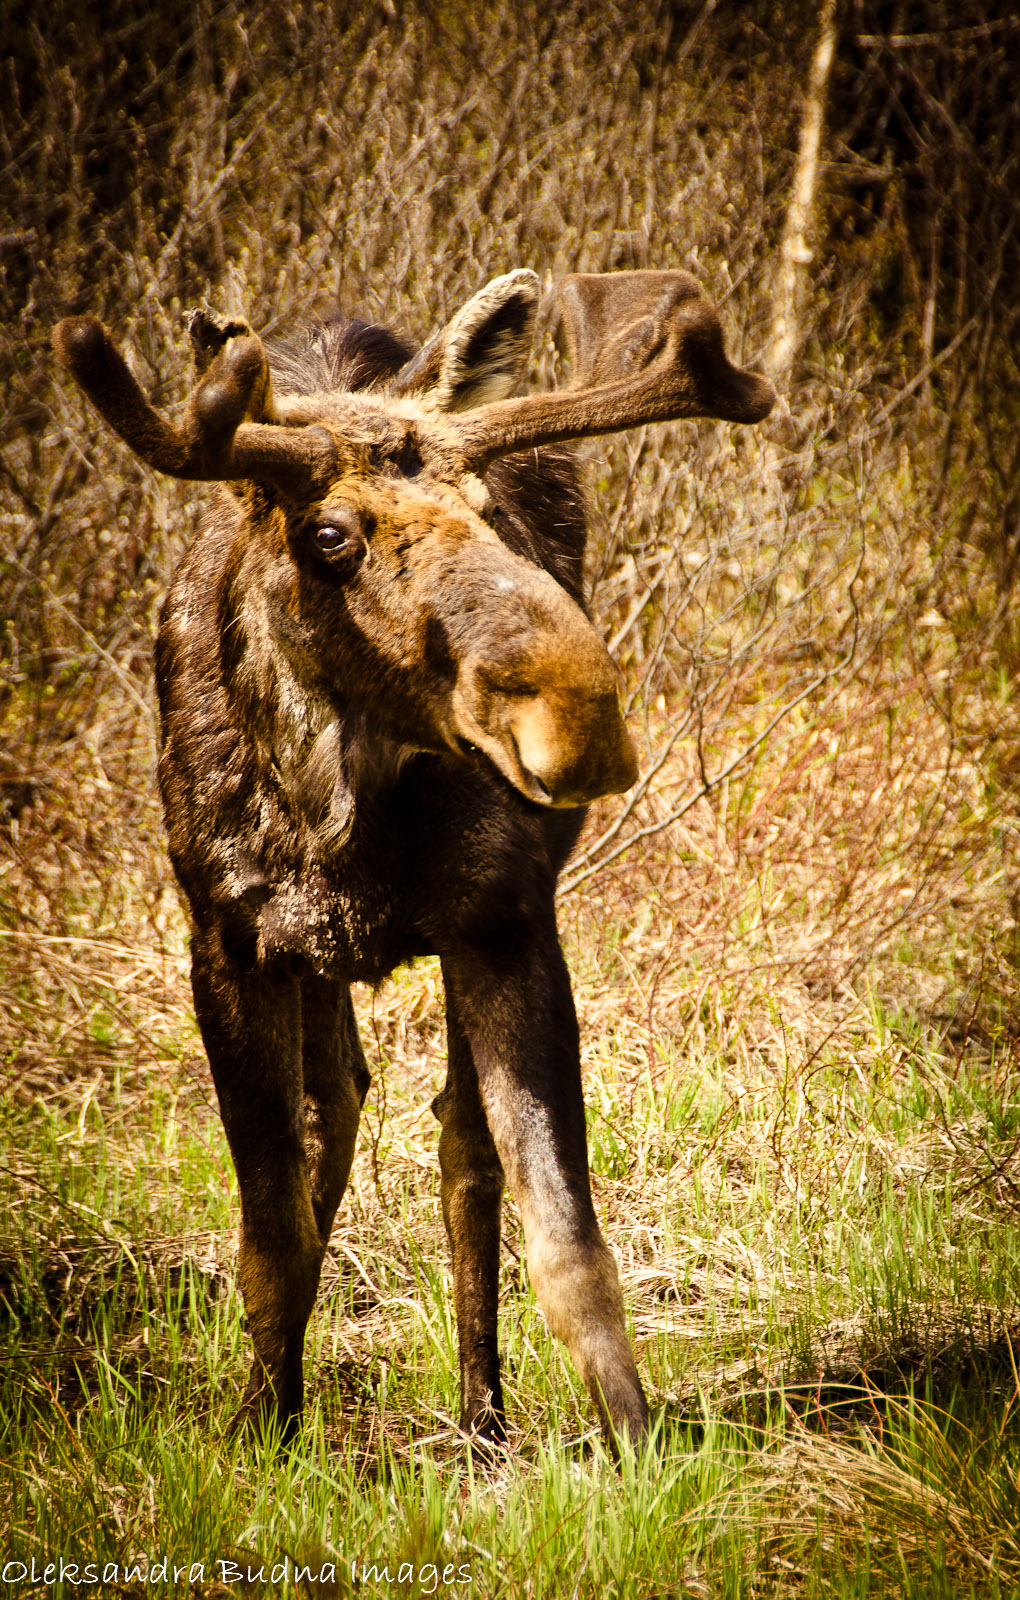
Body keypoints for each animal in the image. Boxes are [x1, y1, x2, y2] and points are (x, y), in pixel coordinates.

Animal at [52, 267, 774, 1453]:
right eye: (330, 534)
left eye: (491, 513)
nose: (578, 711)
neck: (338, 810)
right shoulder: (226, 935)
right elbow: (275, 1226)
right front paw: (261, 1433)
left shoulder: (505, 923)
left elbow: (565, 1239)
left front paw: (636, 1443)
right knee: (336, 1113)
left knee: (457, 1151)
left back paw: (482, 1415)